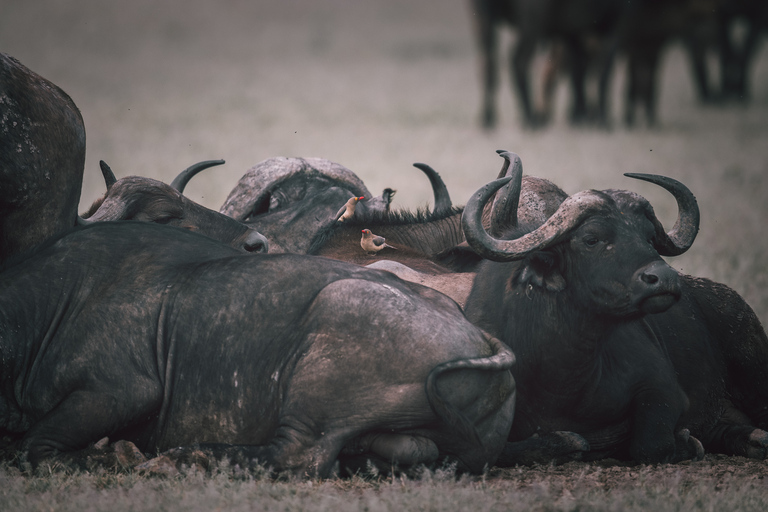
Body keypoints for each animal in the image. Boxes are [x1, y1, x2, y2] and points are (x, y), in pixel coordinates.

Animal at [1, 222, 516, 478]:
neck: (52, 302)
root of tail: (479, 338)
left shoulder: (123, 390)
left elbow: (34, 445)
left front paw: (113, 456)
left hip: (331, 329)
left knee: (298, 456)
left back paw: (184, 457)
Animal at [462, 157, 768, 464]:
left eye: (649, 237)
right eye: (591, 239)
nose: (665, 278)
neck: (561, 376)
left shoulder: (664, 390)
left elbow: (650, 445)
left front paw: (687, 444)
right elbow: (505, 451)